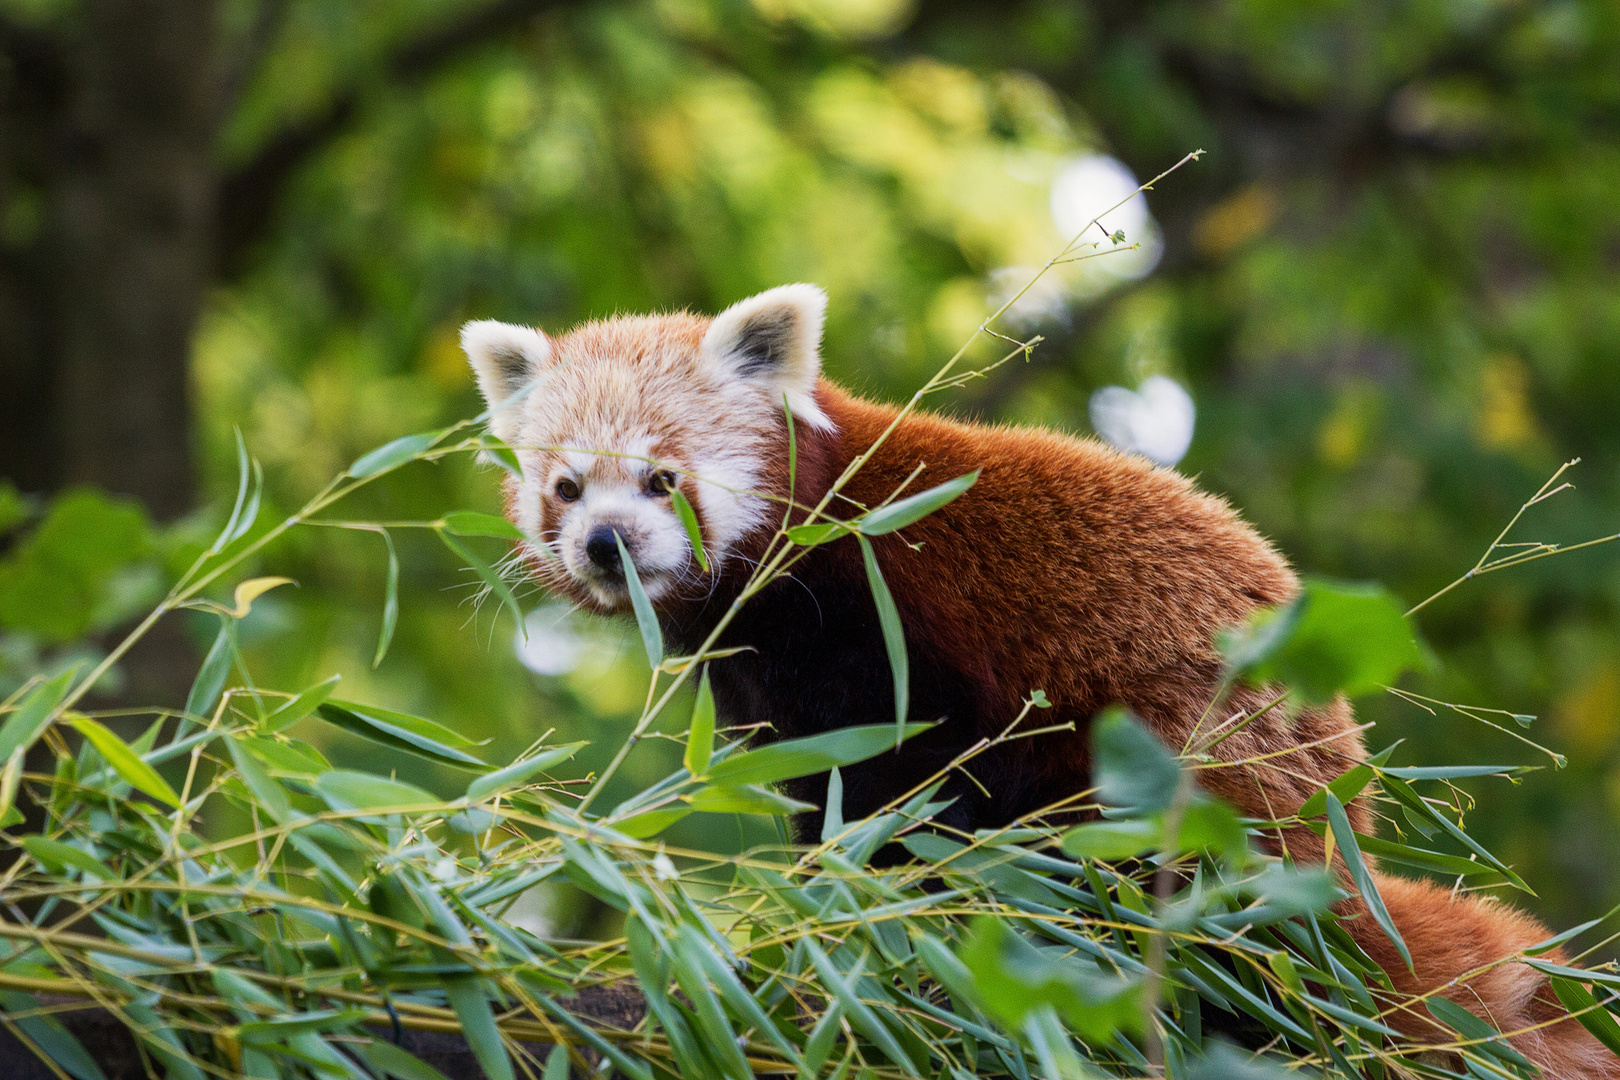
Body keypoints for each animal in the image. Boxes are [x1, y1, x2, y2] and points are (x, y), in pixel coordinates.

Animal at [463, 283, 1613, 1075]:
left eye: (663, 478)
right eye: (566, 487)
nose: (607, 544)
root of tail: (1339, 857)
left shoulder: (886, 627)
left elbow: (907, 792)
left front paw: (865, 921)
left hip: (1172, 782)